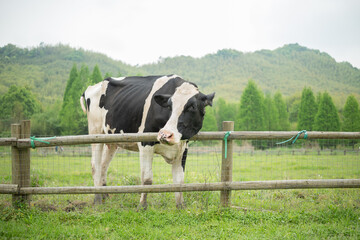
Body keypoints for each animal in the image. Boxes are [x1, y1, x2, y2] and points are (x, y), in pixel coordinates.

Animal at [80, 74, 215, 209]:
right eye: (169, 106)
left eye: (193, 107)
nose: (165, 134)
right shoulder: (145, 143)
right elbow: (147, 179)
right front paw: (142, 206)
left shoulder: (183, 148)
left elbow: (179, 180)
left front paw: (180, 206)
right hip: (96, 133)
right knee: (95, 166)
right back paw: (97, 199)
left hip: (111, 140)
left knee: (104, 165)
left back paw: (105, 196)